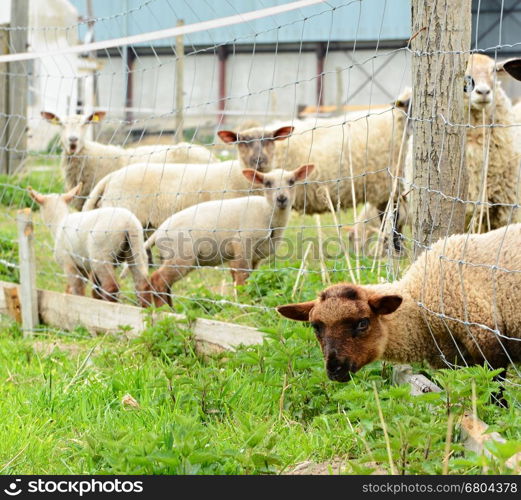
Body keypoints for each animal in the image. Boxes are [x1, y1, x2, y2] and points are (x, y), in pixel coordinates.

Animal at [148, 164, 314, 306]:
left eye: (292, 181)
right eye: (267, 183)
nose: (281, 198)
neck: (268, 213)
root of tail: (158, 232)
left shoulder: (255, 256)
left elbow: (250, 279)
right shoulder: (242, 243)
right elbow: (242, 278)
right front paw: (244, 303)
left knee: (165, 283)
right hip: (181, 255)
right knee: (157, 280)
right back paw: (162, 310)